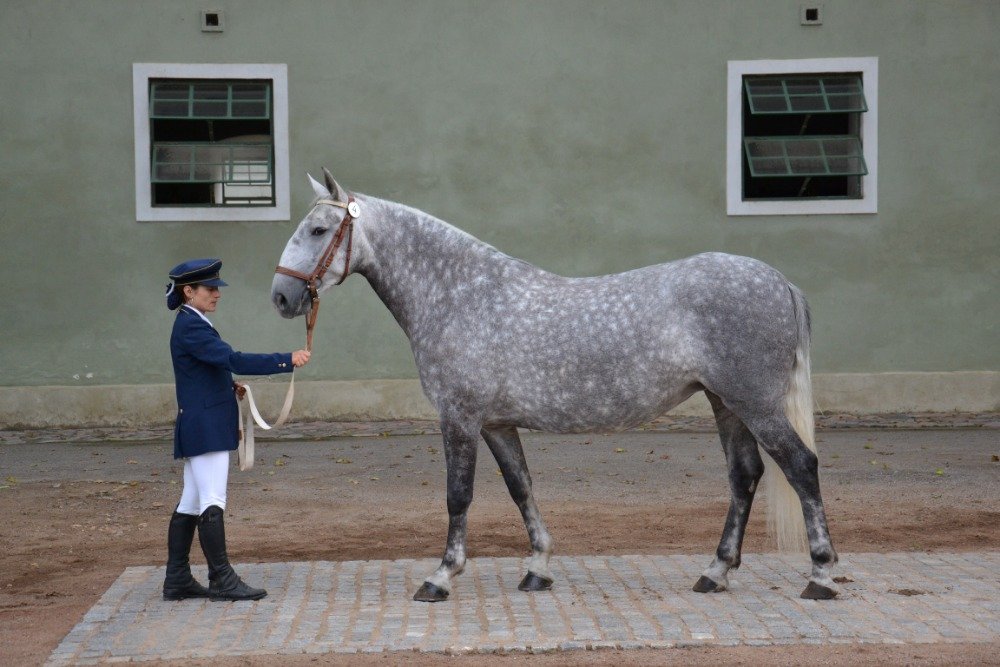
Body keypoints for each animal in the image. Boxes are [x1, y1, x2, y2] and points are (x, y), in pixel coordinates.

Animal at [270, 170, 840, 604]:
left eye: (318, 229)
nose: (281, 297)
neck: (459, 294)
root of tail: (777, 280)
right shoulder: (497, 425)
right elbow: (521, 487)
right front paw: (537, 568)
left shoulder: (459, 418)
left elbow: (458, 496)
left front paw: (441, 577)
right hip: (727, 404)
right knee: (744, 476)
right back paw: (715, 573)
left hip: (756, 405)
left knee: (801, 467)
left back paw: (821, 575)